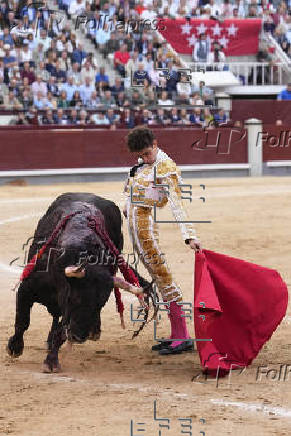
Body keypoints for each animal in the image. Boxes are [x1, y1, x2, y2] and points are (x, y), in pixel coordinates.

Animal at [8, 192, 152, 372]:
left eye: (101, 304)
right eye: (75, 299)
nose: (79, 337)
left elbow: (60, 333)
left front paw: (51, 361)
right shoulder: (26, 289)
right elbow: (22, 321)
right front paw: (14, 347)